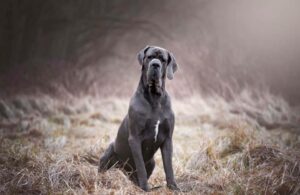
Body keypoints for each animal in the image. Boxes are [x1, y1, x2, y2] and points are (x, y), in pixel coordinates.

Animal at [98, 45, 179, 191]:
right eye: (150, 57)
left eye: (163, 60)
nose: (155, 65)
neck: (154, 97)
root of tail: (123, 171)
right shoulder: (135, 139)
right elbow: (141, 166)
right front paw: (145, 188)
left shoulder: (168, 139)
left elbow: (168, 166)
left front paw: (173, 186)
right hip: (109, 151)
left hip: (152, 162)